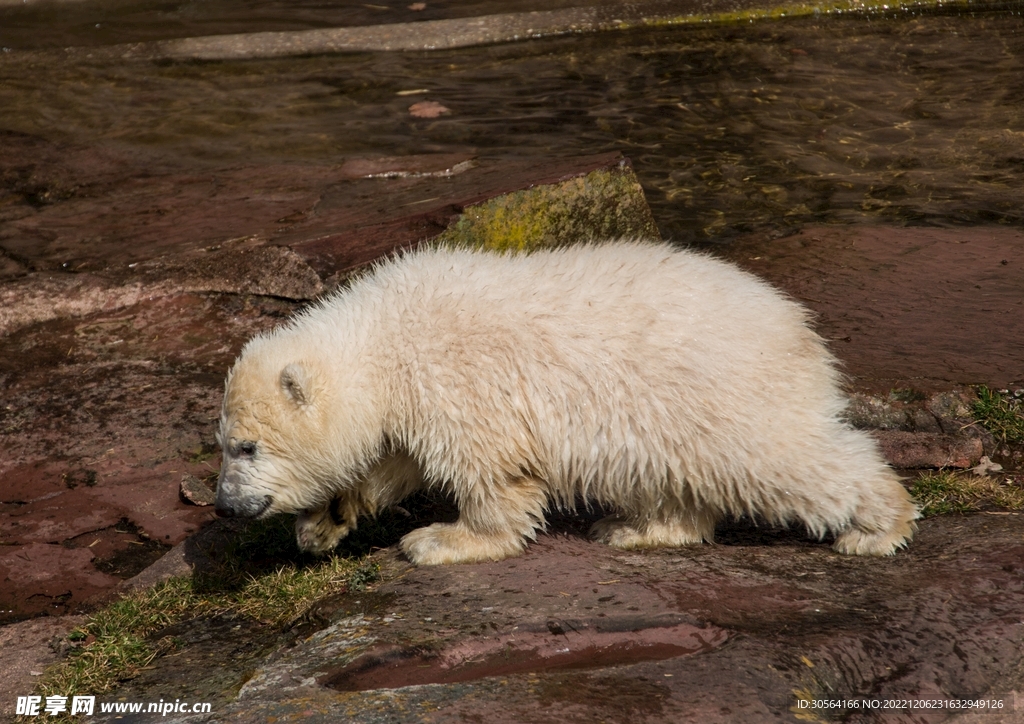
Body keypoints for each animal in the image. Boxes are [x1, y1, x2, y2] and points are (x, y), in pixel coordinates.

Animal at [215, 241, 918, 565]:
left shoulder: (459, 380)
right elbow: (390, 463)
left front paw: (440, 540)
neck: (386, 333)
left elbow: (493, 473)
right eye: (223, 445)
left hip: (723, 393)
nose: (224, 505)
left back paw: (879, 527)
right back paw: (637, 528)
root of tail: (798, 326)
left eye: (247, 447)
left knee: (783, 458)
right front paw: (320, 525)